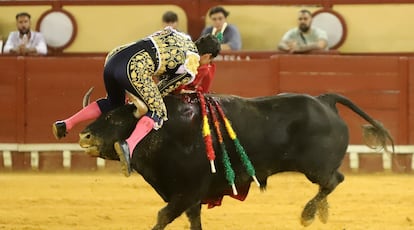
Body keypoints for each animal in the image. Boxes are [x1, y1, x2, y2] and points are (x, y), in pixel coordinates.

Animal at [78, 90, 394, 229]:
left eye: (115, 118)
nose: (85, 135)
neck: (167, 131)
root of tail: (324, 99)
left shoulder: (186, 192)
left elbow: (163, 217)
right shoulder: (190, 197)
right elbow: (193, 220)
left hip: (315, 167)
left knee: (333, 180)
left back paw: (308, 214)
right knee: (329, 184)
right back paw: (320, 212)